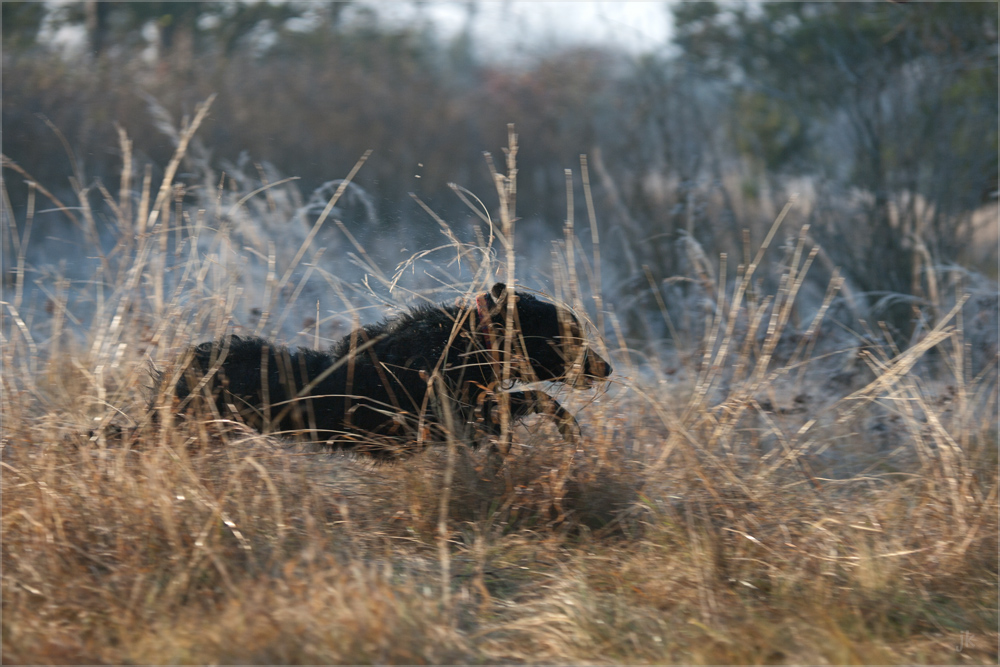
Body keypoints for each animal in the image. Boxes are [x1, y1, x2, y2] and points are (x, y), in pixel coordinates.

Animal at [170, 282, 608, 460]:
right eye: (569, 335)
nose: (607, 367)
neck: (468, 339)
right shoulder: (446, 419)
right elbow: (531, 398)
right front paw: (567, 426)